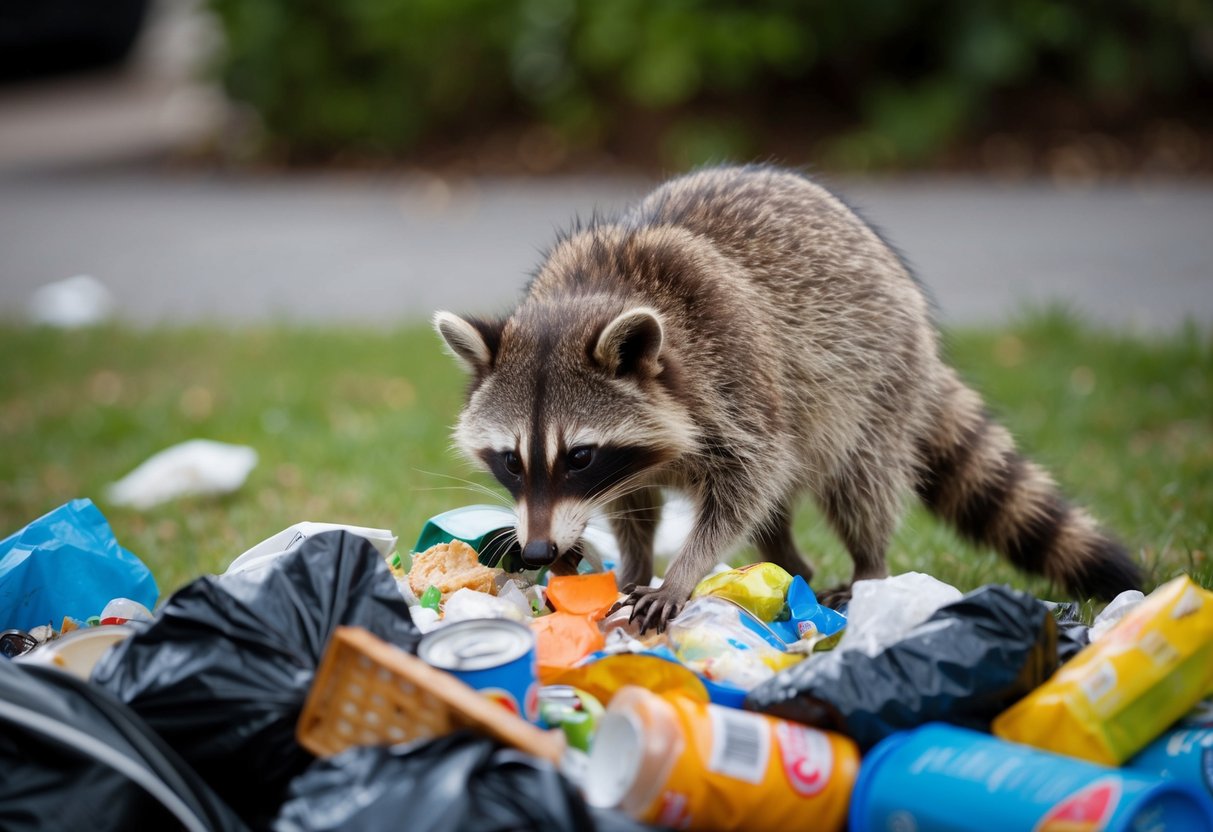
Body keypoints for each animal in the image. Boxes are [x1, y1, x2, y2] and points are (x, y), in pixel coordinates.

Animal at [434, 164, 1141, 632]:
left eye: (578, 456)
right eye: (512, 461)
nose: (536, 552)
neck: (592, 291)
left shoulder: (736, 375)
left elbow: (747, 482)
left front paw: (682, 570)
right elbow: (636, 508)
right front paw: (630, 563)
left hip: (874, 384)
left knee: (858, 484)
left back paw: (868, 567)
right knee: (780, 509)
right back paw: (788, 566)